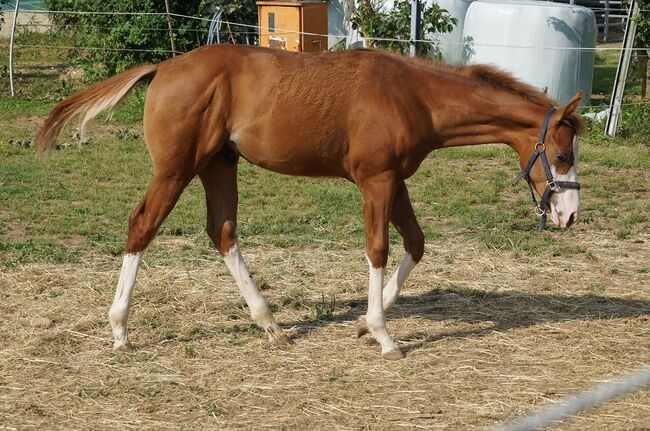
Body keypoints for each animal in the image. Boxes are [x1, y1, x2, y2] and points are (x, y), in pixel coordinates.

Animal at [36, 45, 584, 360]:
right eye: (561, 154)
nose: (569, 215)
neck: (413, 95)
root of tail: (163, 67)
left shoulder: (396, 181)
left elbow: (416, 243)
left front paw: (364, 324)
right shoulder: (376, 181)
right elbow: (379, 250)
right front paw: (384, 336)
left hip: (219, 165)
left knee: (223, 232)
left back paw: (270, 325)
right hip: (176, 169)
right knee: (142, 226)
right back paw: (120, 330)